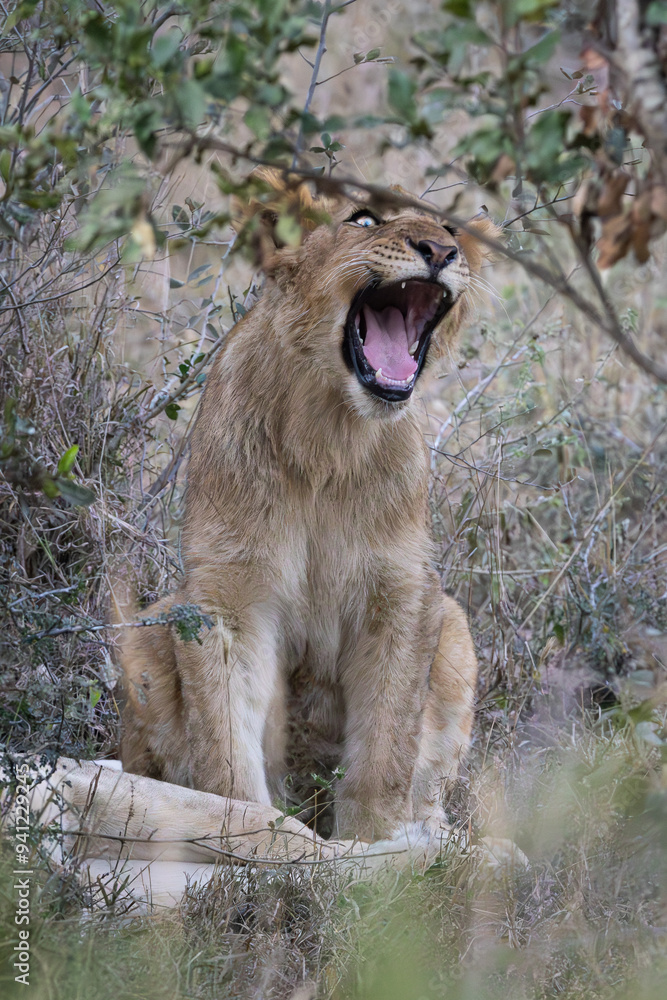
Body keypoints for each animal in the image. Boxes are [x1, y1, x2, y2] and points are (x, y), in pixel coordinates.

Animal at [119, 173, 497, 846]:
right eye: (365, 220)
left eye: (450, 228)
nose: (440, 250)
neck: (330, 436)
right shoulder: (223, 598)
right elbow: (225, 747)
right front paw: (244, 832)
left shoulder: (404, 593)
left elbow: (386, 747)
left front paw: (376, 849)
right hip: (151, 624)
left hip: (455, 629)